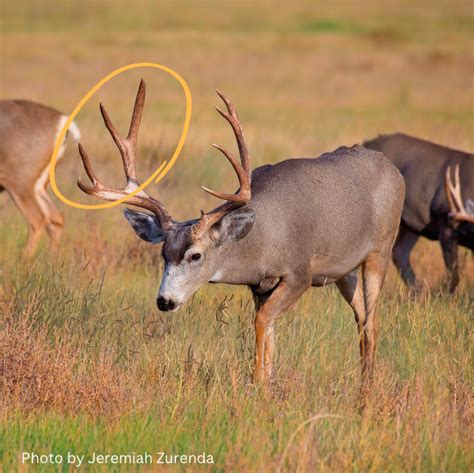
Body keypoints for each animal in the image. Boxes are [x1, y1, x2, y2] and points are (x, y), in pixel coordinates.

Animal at [0, 97, 80, 256]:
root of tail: (61, 121)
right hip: (38, 185)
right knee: (55, 218)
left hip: (19, 182)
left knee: (37, 219)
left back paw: (24, 260)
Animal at [77, 80, 404, 384]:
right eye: (163, 254)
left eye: (195, 256)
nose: (165, 301)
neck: (265, 238)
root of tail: (394, 170)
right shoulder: (259, 286)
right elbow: (269, 331)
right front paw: (268, 381)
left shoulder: (300, 272)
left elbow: (262, 321)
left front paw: (257, 382)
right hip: (345, 271)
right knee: (361, 317)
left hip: (380, 250)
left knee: (372, 321)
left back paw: (367, 388)